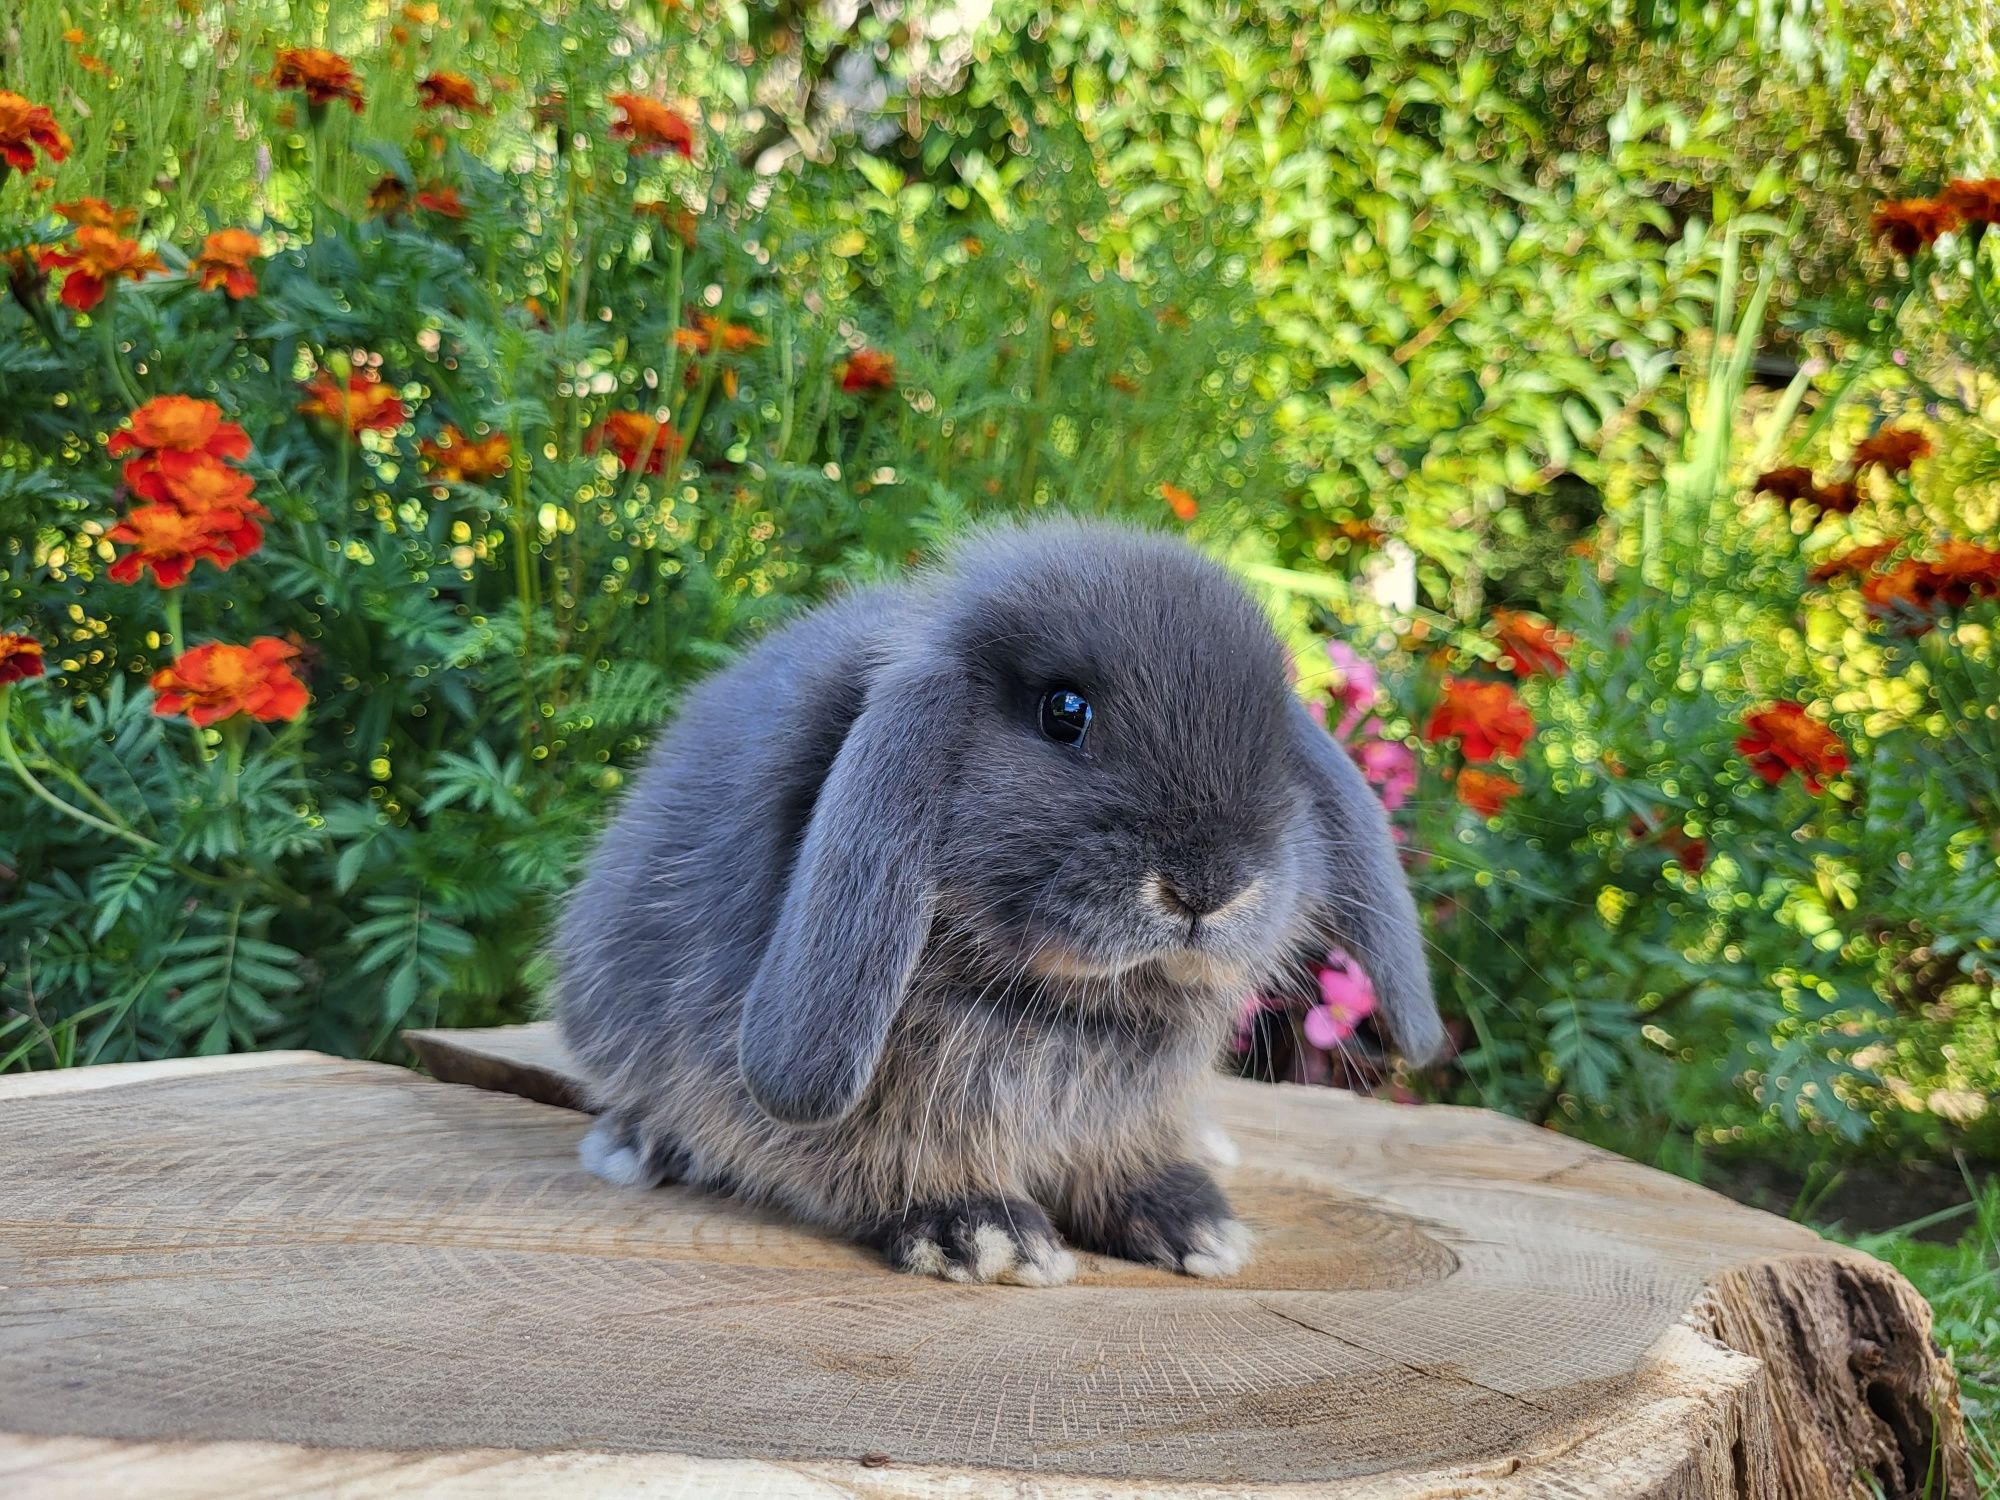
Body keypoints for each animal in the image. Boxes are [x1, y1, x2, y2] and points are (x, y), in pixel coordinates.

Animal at [564, 524, 1440, 1288]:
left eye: (1274, 740)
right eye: (1065, 711)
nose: (1209, 887)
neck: (1074, 1000)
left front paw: (1191, 1220)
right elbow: (882, 1158)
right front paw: (982, 1235)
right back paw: (637, 1145)